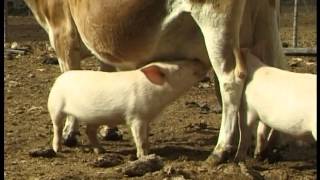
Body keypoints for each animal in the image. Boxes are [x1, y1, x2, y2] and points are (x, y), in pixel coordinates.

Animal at [24, 0, 284, 165]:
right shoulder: (100, 47)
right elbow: (105, 75)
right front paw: (109, 129)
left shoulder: (62, 32)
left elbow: (69, 74)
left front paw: (70, 132)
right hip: (263, 23)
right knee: (274, 66)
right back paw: (265, 145)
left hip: (217, 21)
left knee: (230, 79)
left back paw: (220, 150)